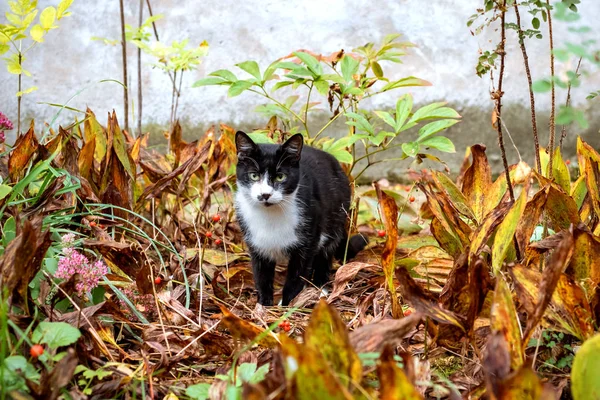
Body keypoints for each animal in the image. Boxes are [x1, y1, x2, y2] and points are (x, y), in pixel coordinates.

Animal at [233, 132, 366, 306]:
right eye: (254, 175)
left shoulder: (309, 237)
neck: (270, 216)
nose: (265, 194)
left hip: (336, 215)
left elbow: (297, 274)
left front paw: (288, 304)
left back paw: (319, 289)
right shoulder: (256, 243)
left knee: (325, 252)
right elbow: (261, 275)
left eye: (281, 177)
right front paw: (263, 305)